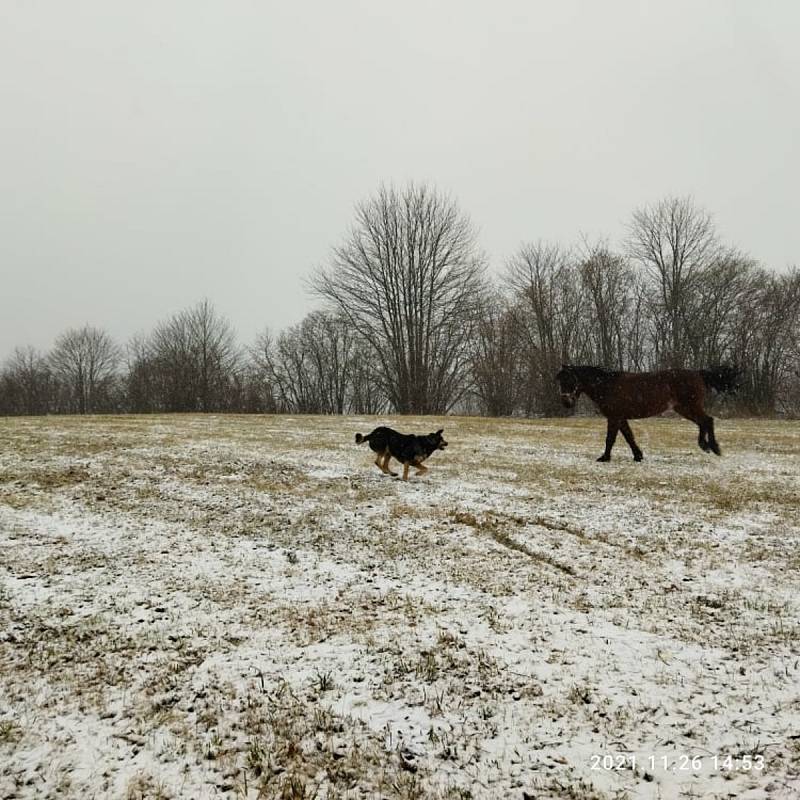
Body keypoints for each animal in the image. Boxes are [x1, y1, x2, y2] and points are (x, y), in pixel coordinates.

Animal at [556, 364, 736, 462]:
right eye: (560, 380)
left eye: (571, 379)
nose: (566, 402)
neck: (607, 385)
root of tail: (698, 373)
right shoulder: (621, 418)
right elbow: (629, 437)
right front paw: (638, 456)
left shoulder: (614, 417)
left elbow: (610, 439)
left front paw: (604, 458)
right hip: (684, 408)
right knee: (703, 422)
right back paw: (706, 446)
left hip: (689, 406)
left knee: (707, 420)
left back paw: (712, 447)